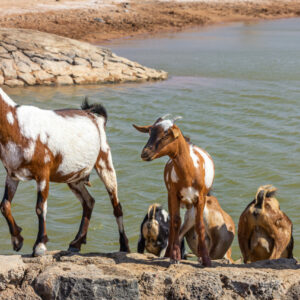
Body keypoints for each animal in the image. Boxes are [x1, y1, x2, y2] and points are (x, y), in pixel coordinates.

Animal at [0, 88, 129, 256]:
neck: (16, 125)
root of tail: (93, 116)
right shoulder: (12, 174)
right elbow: (4, 205)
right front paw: (17, 240)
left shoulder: (43, 173)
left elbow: (40, 208)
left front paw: (40, 246)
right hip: (73, 177)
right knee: (89, 201)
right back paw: (76, 243)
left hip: (104, 161)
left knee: (116, 206)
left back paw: (124, 247)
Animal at [133, 116, 213, 266]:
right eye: (149, 132)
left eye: (166, 135)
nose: (145, 153)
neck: (189, 173)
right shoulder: (173, 194)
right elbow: (176, 222)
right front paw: (175, 256)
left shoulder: (201, 197)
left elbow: (200, 224)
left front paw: (205, 259)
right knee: (172, 223)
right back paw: (169, 253)